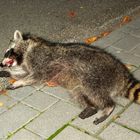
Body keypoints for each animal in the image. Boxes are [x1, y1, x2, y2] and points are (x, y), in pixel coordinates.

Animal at [0, 30, 139, 124]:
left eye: (8, 52)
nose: (1, 63)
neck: (29, 48)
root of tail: (122, 74)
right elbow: (25, 73)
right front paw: (8, 73)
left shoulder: (43, 60)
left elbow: (36, 76)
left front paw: (18, 82)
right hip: (82, 82)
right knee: (77, 93)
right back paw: (91, 108)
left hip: (96, 75)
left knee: (95, 92)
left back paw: (107, 107)